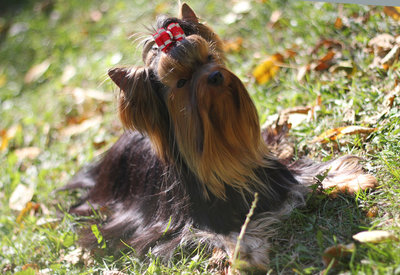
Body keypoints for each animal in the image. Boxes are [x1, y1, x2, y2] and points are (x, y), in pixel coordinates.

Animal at [65, 3, 376, 272]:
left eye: (208, 58)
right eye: (181, 82)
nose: (215, 76)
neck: (224, 152)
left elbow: (312, 175)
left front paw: (352, 179)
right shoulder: (194, 225)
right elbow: (223, 237)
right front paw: (248, 254)